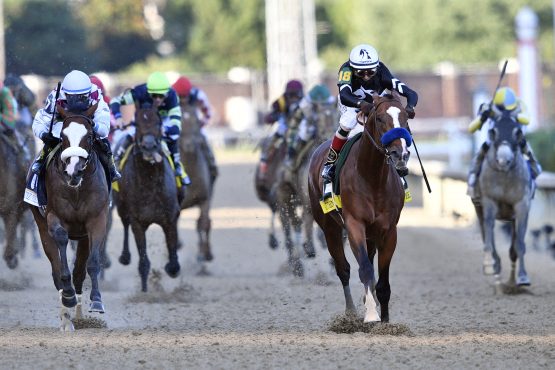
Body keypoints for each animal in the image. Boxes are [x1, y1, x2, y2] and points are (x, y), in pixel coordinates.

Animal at [29, 102, 110, 330]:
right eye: (63, 136)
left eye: (90, 136)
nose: (73, 171)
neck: (76, 188)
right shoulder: (53, 216)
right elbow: (61, 242)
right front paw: (68, 296)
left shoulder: (97, 219)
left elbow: (92, 262)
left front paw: (97, 300)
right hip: (41, 227)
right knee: (56, 270)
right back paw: (66, 318)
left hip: (82, 237)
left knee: (80, 273)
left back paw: (79, 315)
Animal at [113, 107, 180, 292]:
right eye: (136, 123)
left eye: (158, 123)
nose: (149, 146)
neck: (150, 184)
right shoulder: (138, 221)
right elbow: (143, 263)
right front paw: (144, 292)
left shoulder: (170, 218)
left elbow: (173, 264)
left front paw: (170, 267)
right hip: (121, 207)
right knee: (125, 223)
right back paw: (124, 256)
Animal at [308, 94, 412, 322]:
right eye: (380, 119)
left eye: (405, 117)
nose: (400, 154)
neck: (372, 177)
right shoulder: (355, 224)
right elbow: (364, 269)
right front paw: (372, 314)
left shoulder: (388, 231)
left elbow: (382, 282)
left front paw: (386, 320)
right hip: (330, 227)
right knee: (343, 268)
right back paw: (350, 312)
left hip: (372, 234)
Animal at [474, 112, 536, 290]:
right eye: (493, 131)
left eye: (518, 131)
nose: (504, 160)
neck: (505, 176)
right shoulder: (489, 201)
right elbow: (488, 232)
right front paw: (490, 265)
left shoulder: (522, 205)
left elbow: (519, 244)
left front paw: (522, 277)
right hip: (479, 208)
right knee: (486, 233)